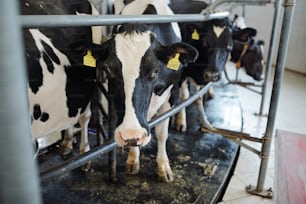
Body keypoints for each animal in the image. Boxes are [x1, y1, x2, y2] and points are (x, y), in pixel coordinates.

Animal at [71, 0, 198, 182]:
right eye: (108, 69)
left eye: (155, 70)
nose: (130, 134)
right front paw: (133, 159)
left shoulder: (171, 93)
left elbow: (162, 132)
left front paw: (163, 167)